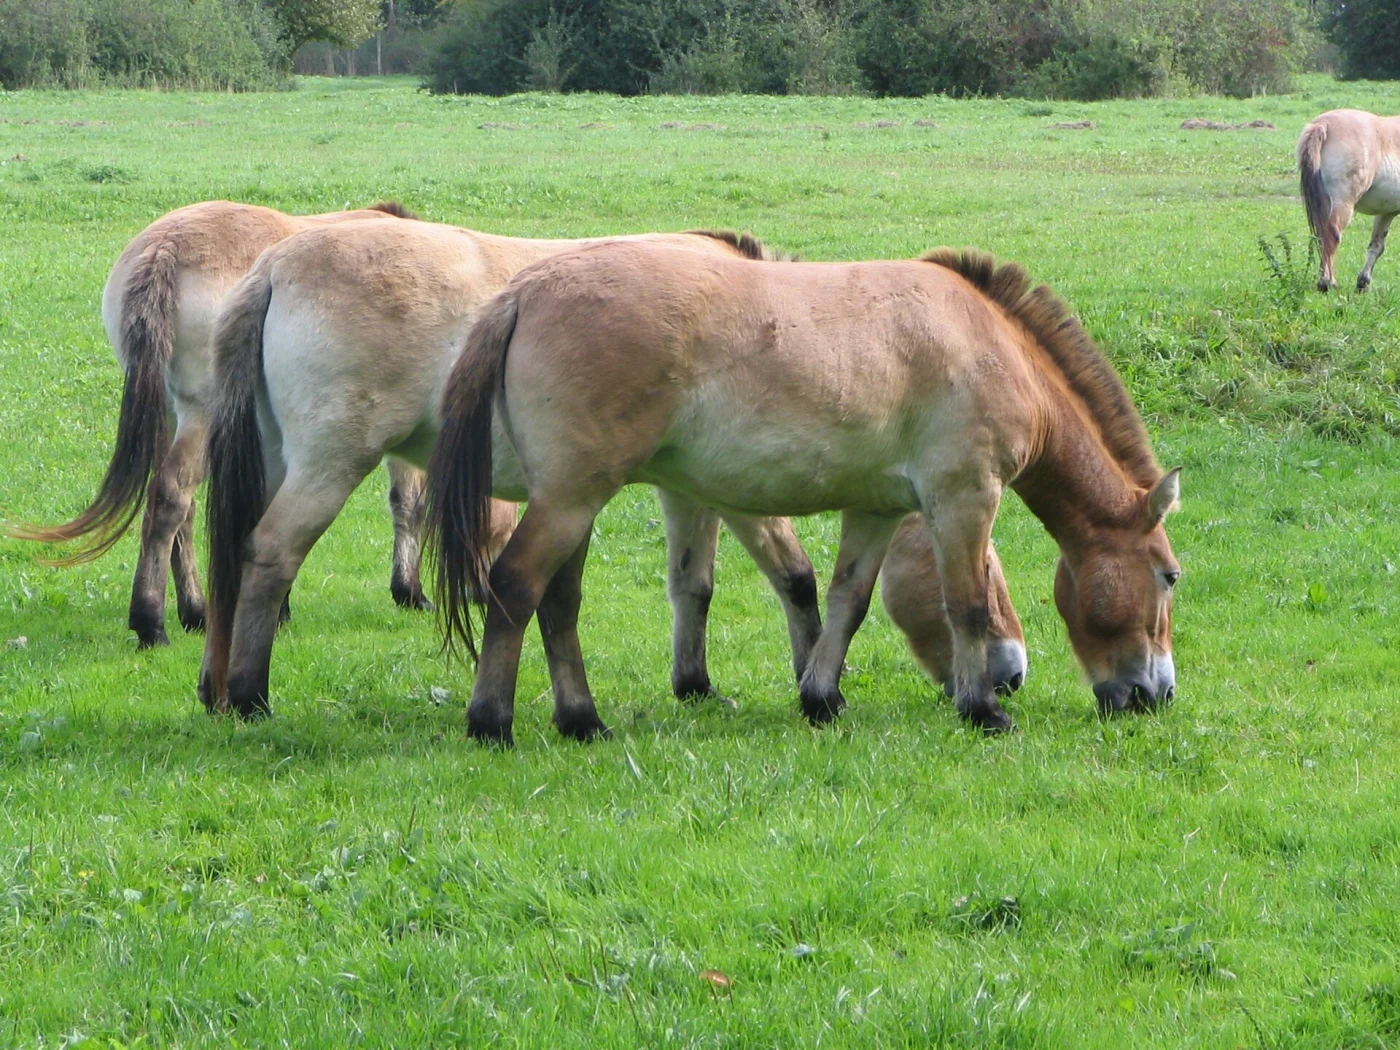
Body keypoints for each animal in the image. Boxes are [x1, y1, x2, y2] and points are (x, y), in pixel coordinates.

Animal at [8, 200, 420, 648]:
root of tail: (165, 248)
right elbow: (406, 500)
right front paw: (409, 591)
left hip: (170, 414)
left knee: (177, 508)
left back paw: (195, 612)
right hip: (204, 416)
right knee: (172, 496)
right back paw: (151, 623)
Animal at [194, 218, 1028, 722]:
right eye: (990, 570)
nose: (1011, 672)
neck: (773, 313)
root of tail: (276, 265)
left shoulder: (684, 487)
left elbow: (696, 584)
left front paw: (701, 683)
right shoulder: (736, 489)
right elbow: (793, 576)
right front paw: (811, 676)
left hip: (277, 458)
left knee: (234, 555)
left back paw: (216, 688)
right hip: (331, 462)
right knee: (271, 552)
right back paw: (250, 694)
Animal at [427, 241, 1181, 745]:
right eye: (1169, 576)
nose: (1159, 693)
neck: (987, 343)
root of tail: (526, 292)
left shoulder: (877, 510)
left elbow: (848, 601)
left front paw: (822, 698)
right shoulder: (964, 497)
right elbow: (965, 605)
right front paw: (983, 710)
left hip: (574, 503)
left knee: (558, 603)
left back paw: (581, 720)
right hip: (570, 499)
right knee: (515, 585)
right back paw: (492, 721)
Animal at [1298, 109, 1400, 292]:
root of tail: (1324, 124)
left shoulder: (1387, 212)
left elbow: (1377, 245)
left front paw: (1363, 282)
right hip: (1343, 203)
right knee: (1332, 235)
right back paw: (1328, 282)